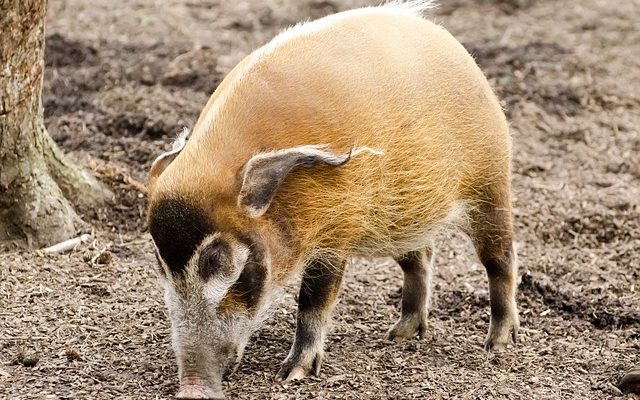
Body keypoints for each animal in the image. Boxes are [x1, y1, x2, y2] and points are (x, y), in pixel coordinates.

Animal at [146, 1, 520, 398]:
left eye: (218, 260)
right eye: (160, 263)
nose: (191, 387)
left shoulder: (336, 231)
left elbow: (313, 300)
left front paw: (292, 375)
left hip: (492, 183)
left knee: (501, 258)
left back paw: (498, 344)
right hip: (403, 218)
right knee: (421, 259)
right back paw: (398, 336)